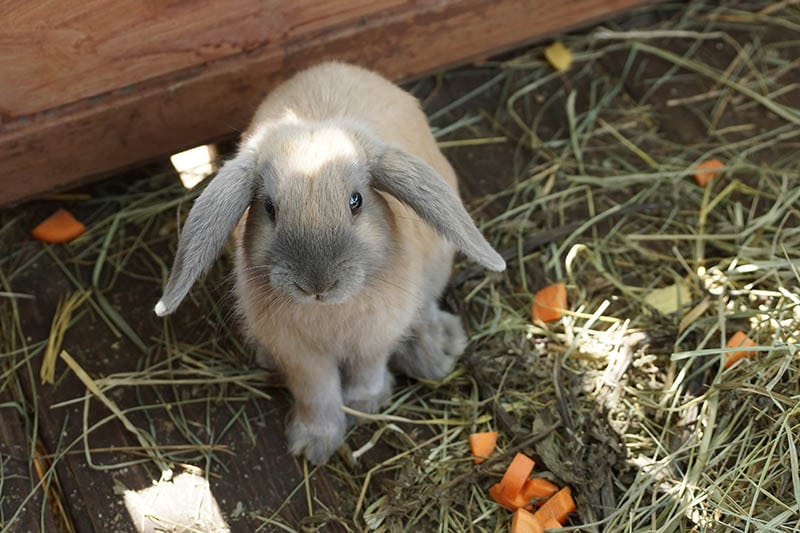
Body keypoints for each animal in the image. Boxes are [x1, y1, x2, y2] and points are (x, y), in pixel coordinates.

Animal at [155, 60, 504, 464]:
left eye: (356, 201)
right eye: (269, 208)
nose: (316, 284)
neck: (329, 313)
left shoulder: (374, 337)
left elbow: (368, 369)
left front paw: (366, 404)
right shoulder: (301, 356)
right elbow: (317, 393)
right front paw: (313, 444)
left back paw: (437, 350)